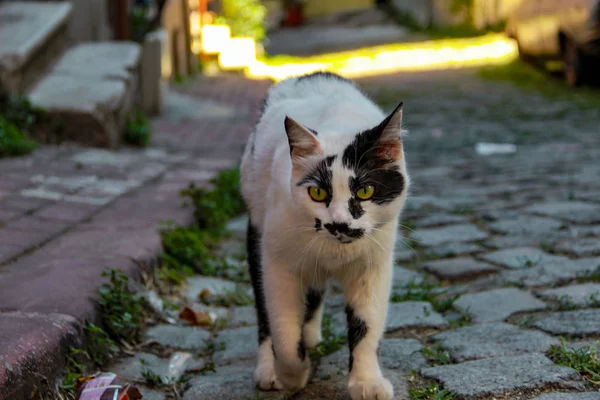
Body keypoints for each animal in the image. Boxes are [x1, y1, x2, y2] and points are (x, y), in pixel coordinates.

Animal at [241, 72, 410, 400]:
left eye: (365, 190)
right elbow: (283, 331)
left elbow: (366, 326)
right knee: (265, 316)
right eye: (318, 193)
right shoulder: (278, 265)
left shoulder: (373, 268)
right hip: (256, 233)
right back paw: (270, 369)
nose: (339, 224)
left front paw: (366, 382)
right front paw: (292, 375)